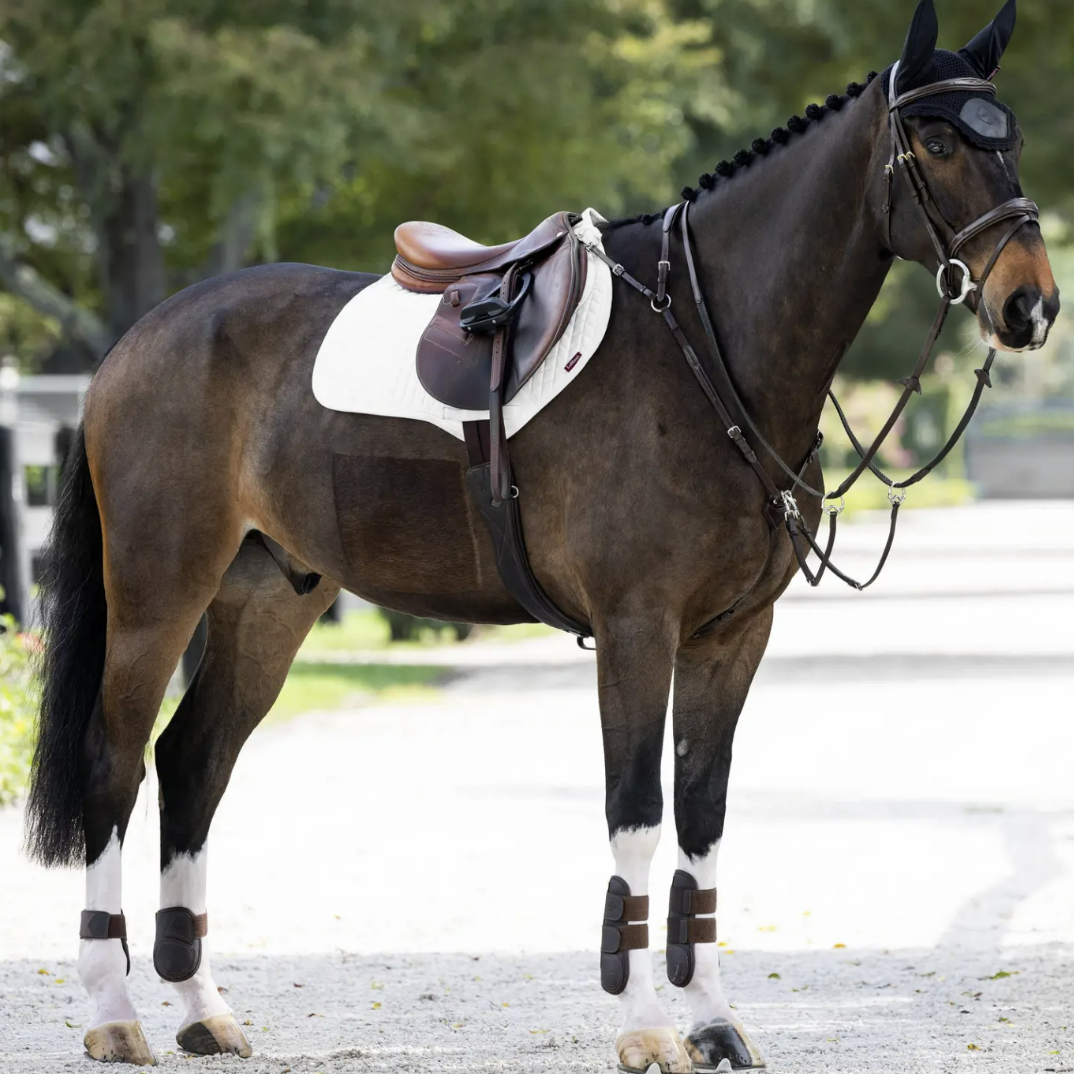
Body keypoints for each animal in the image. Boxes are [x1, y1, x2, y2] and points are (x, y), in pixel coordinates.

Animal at [24, 0, 1059, 1069]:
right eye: (936, 141)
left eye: (1013, 138)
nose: (1029, 303)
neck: (704, 347)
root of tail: (137, 343)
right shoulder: (638, 629)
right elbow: (636, 813)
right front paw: (646, 1028)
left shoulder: (733, 637)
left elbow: (703, 817)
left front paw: (714, 1021)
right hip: (158, 594)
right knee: (115, 762)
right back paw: (114, 1012)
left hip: (270, 600)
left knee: (193, 764)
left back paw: (202, 1010)